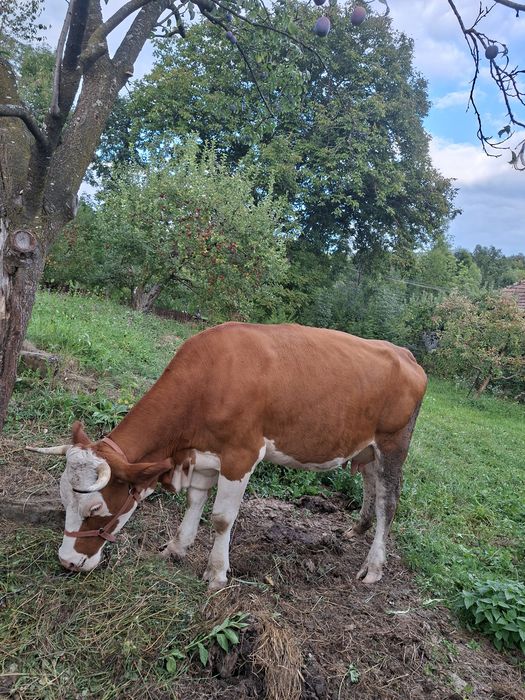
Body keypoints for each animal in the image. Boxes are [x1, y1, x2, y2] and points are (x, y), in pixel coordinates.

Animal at [27, 322, 427, 591]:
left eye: (95, 508)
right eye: (63, 498)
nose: (67, 562)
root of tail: (404, 353)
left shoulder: (241, 455)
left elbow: (221, 518)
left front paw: (217, 574)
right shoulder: (205, 453)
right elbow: (195, 501)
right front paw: (176, 548)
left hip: (393, 445)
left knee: (388, 502)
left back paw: (373, 567)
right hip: (366, 448)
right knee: (370, 487)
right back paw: (356, 528)